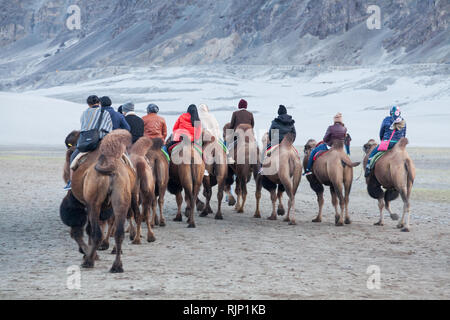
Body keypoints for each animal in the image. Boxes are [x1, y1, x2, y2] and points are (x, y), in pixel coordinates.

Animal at [59, 130, 137, 272]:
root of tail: (110, 168)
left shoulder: (80, 203)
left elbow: (78, 230)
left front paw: (88, 254)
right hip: (120, 200)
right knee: (119, 233)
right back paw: (117, 266)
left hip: (94, 204)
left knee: (96, 232)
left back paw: (88, 262)